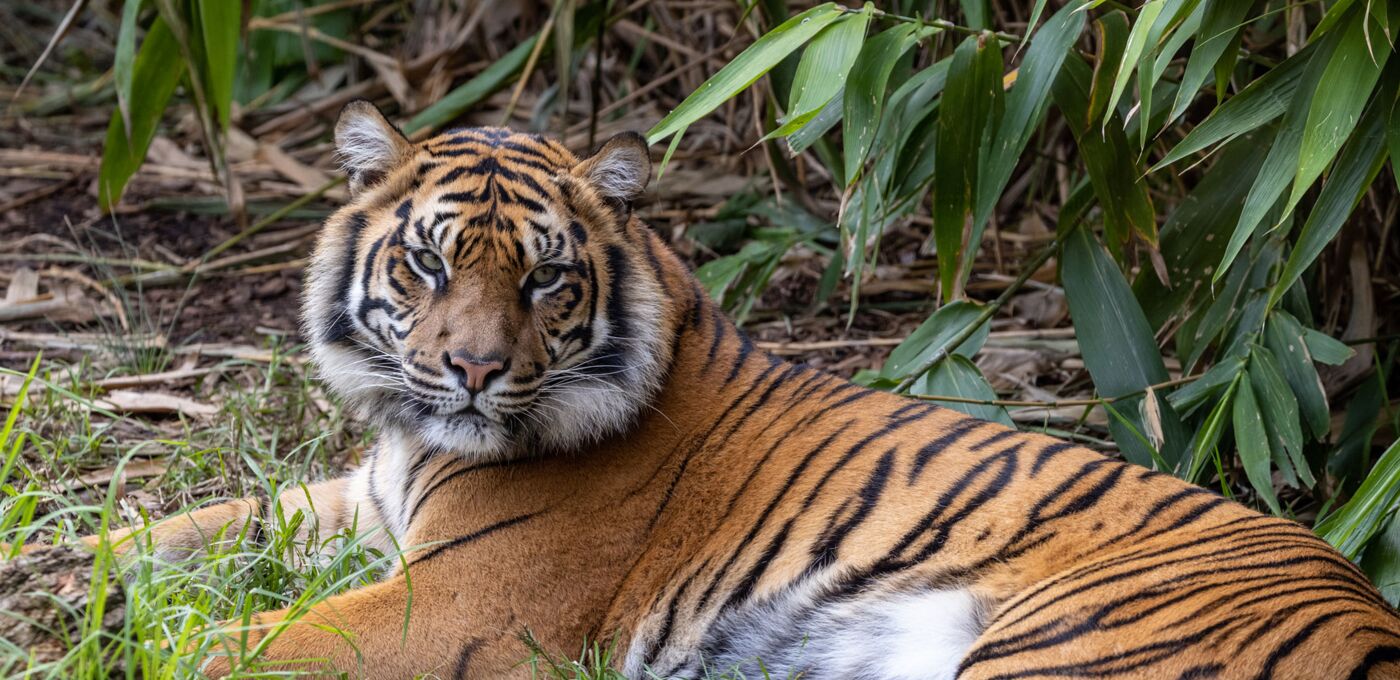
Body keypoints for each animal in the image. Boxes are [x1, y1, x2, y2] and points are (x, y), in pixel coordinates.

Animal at [60, 100, 1400, 680]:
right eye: (429, 263)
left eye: (542, 277)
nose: (471, 369)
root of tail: (1372, 618)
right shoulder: (359, 500)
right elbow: (173, 529)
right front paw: (76, 576)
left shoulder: (457, 606)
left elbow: (237, 643)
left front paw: (131, 639)